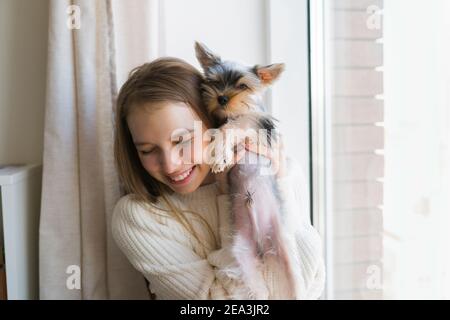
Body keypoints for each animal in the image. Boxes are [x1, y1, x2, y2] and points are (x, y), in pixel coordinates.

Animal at [196, 41, 298, 298]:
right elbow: (221, 128)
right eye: (214, 81)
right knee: (255, 288)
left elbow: (233, 126)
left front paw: (220, 153)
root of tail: (263, 245)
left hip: (286, 253)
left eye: (242, 86)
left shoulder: (254, 123)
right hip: (242, 261)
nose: (222, 98)